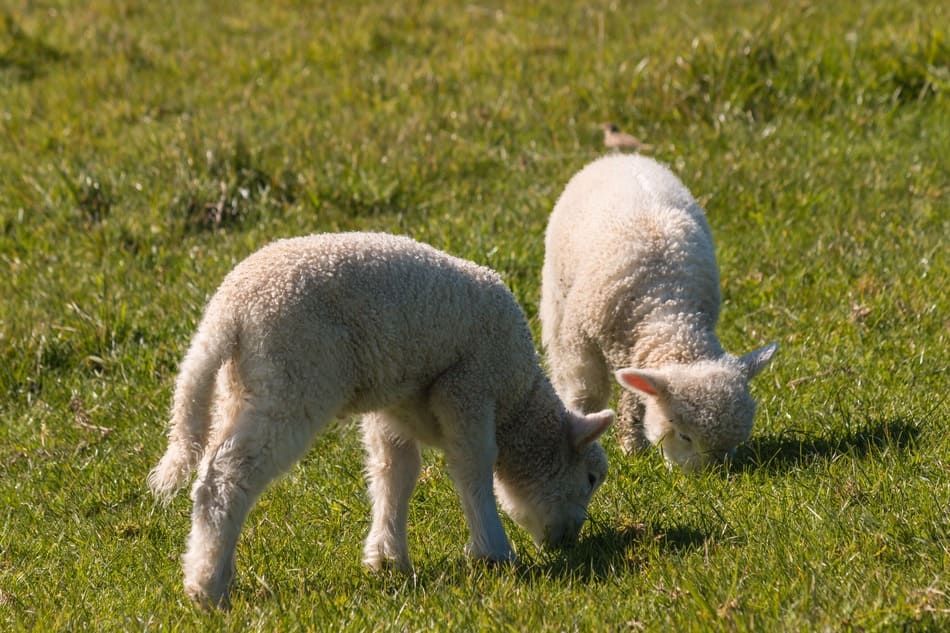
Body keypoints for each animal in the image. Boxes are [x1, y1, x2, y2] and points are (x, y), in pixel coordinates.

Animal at [145, 231, 612, 608]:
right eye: (590, 479)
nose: (569, 540)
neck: (517, 400)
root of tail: (228, 313)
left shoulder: (396, 405)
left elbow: (394, 473)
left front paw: (387, 557)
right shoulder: (468, 385)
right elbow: (473, 467)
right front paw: (493, 551)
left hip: (244, 387)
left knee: (213, 469)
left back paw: (208, 572)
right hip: (292, 381)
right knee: (228, 478)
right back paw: (208, 588)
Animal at [544, 153, 780, 470]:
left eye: (734, 443)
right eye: (684, 436)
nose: (709, 476)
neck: (666, 310)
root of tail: (621, 157)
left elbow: (635, 398)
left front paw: (632, 447)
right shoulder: (581, 338)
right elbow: (588, 392)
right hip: (556, 295)